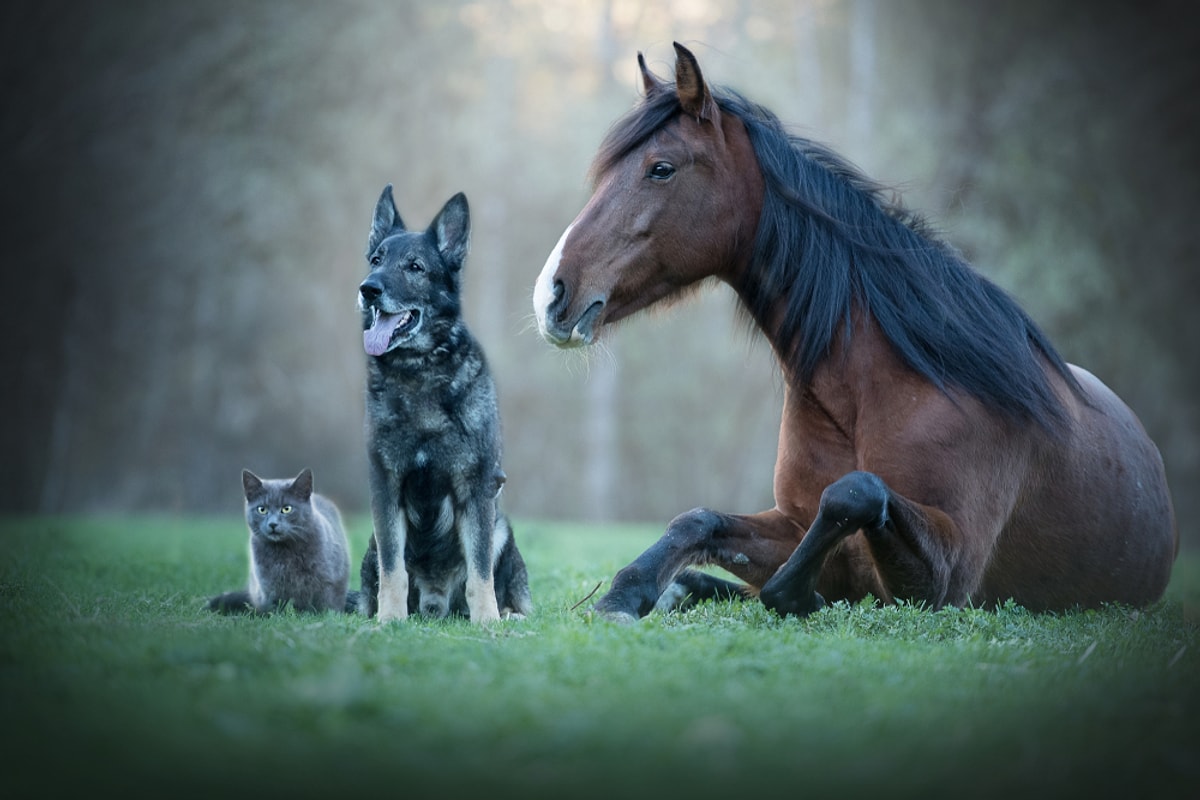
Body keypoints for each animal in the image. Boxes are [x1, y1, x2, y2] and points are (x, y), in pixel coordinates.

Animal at [206, 465, 350, 618]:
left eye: (287, 509)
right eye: (262, 509)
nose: (273, 524)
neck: (285, 550)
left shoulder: (327, 581)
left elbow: (325, 604)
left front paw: (326, 616)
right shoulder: (270, 586)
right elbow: (276, 606)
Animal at [350, 184, 530, 623]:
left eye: (415, 267)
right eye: (377, 259)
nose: (368, 289)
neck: (419, 372)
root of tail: (436, 603)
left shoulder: (477, 488)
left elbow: (480, 572)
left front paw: (488, 622)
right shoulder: (386, 487)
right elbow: (392, 570)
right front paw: (389, 620)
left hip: (500, 526)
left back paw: (507, 614)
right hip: (372, 542)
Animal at [537, 42, 1180, 618]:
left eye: (661, 169)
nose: (551, 294)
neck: (879, 384)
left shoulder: (948, 577)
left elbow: (853, 492)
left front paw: (798, 594)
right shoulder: (792, 524)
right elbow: (698, 520)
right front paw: (626, 593)